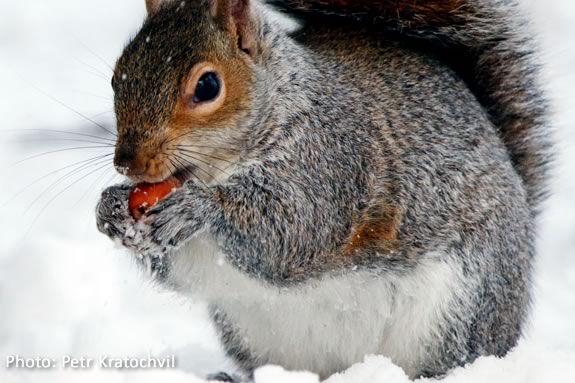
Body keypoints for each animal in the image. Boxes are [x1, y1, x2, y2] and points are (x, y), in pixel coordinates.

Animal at [97, 0, 552, 380]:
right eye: (118, 77)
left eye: (208, 86)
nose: (128, 163)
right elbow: (183, 270)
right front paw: (112, 210)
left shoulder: (333, 164)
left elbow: (294, 230)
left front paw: (197, 208)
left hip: (456, 312)